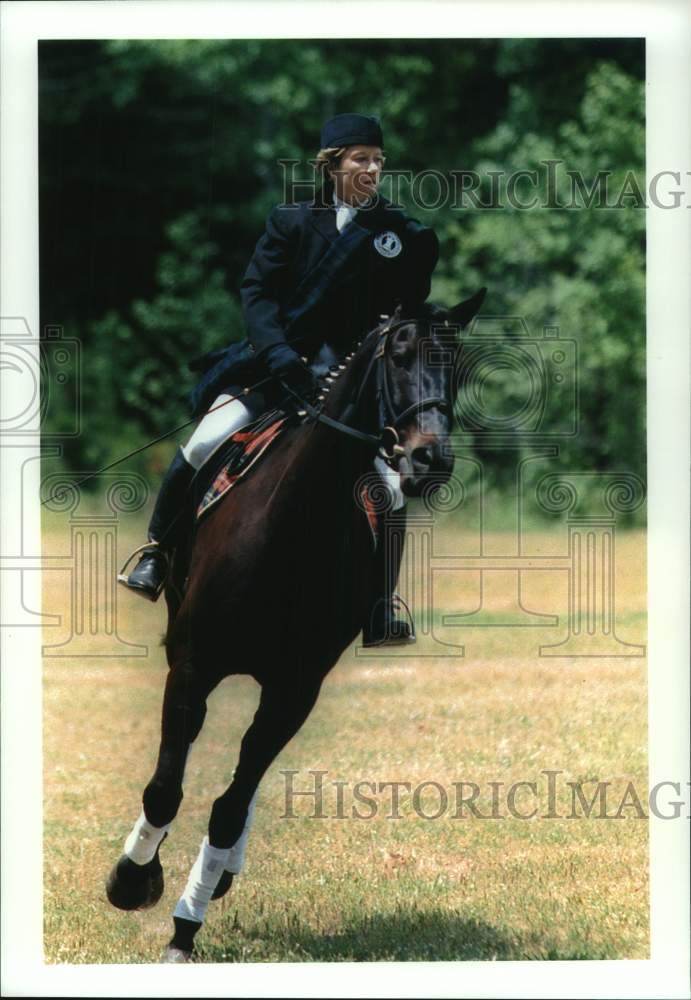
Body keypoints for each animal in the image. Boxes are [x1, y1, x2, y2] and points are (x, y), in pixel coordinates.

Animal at [107, 290, 486, 960]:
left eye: (456, 366)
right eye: (399, 354)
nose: (429, 460)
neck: (294, 524)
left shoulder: (295, 687)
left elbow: (231, 806)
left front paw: (187, 922)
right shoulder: (193, 667)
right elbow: (165, 788)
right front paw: (132, 880)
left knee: (246, 778)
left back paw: (221, 872)